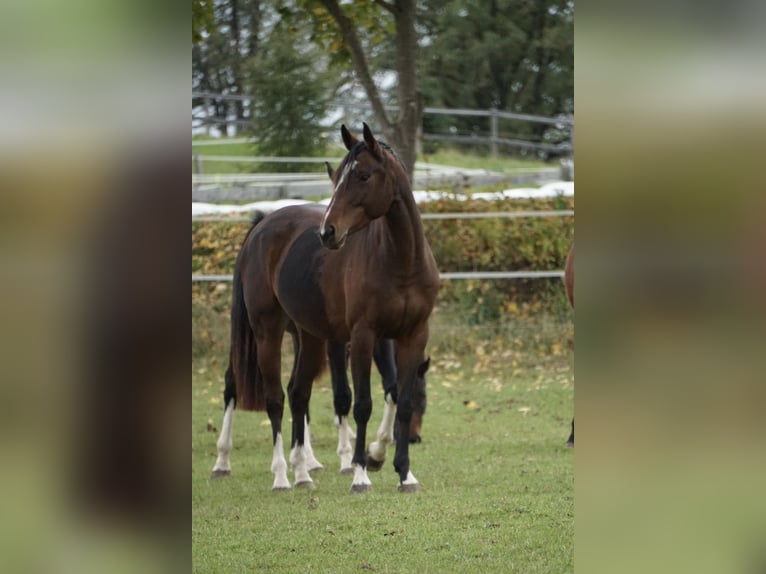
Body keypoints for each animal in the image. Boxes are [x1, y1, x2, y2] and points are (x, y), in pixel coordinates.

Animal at [212, 124, 439, 492]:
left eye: (363, 175)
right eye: (340, 178)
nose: (328, 232)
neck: (401, 262)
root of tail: (262, 225)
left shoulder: (413, 335)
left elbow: (398, 398)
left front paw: (403, 472)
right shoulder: (361, 337)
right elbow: (358, 402)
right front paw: (359, 470)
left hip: (309, 337)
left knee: (297, 392)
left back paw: (303, 472)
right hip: (265, 333)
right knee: (267, 396)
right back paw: (271, 473)